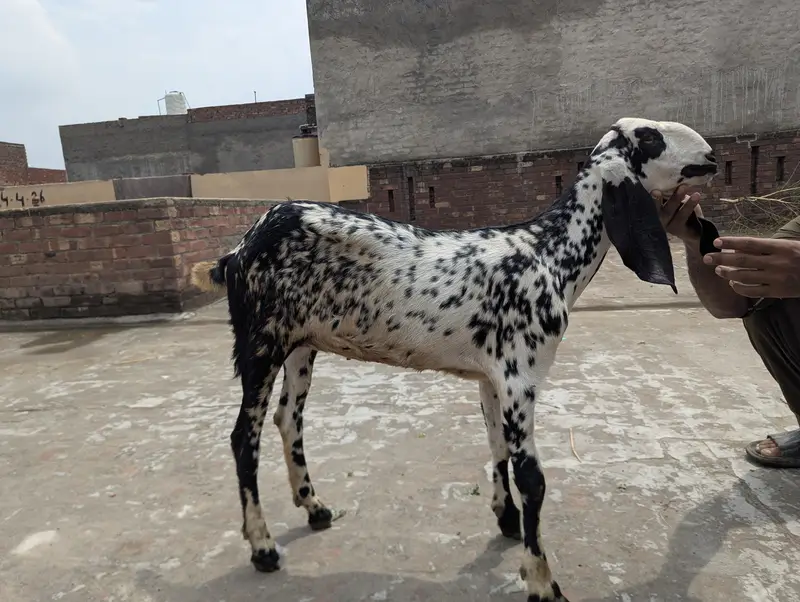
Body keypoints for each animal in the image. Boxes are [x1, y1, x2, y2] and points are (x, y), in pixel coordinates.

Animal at [190, 118, 720, 602]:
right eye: (650, 136)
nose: (712, 156)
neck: (550, 256)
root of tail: (238, 251)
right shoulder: (520, 375)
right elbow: (533, 479)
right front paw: (542, 581)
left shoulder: (491, 377)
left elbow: (496, 446)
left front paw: (506, 519)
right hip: (260, 342)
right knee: (244, 437)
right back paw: (263, 547)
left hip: (300, 344)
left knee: (288, 418)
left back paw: (314, 506)